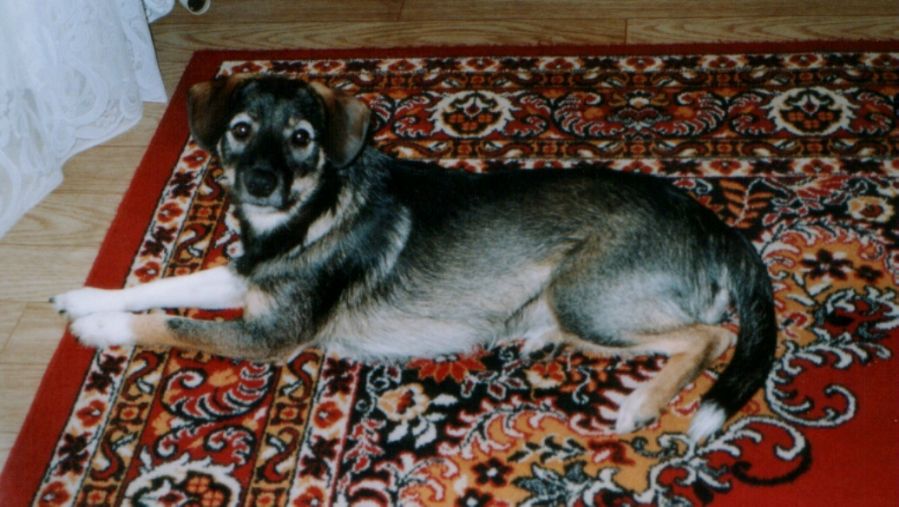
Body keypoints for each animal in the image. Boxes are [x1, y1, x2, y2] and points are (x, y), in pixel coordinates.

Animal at [52, 74, 777, 440]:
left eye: (302, 138)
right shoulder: (243, 279)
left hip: (587, 295)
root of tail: (717, 227)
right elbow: (160, 281)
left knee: (710, 336)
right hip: (580, 307)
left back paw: (642, 404)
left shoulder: (269, 335)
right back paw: (541, 337)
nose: (259, 181)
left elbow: (170, 322)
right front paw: (88, 297)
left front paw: (100, 327)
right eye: (240, 130)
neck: (306, 216)